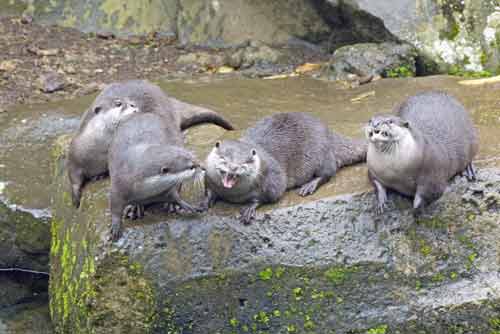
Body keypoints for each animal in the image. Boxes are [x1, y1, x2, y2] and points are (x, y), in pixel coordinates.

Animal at [66, 79, 234, 207]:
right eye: (118, 104)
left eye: (131, 103)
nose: (134, 107)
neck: (99, 149)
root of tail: (167, 98)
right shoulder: (74, 153)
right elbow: (73, 177)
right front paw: (76, 198)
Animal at [108, 112, 204, 240]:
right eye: (191, 166)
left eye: (191, 157)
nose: (201, 166)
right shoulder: (118, 184)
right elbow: (115, 205)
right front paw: (115, 225)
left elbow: (174, 195)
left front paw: (186, 206)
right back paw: (135, 208)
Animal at [203, 112, 368, 224]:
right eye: (224, 159)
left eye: (245, 162)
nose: (234, 168)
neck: (233, 194)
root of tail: (328, 132)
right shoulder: (208, 177)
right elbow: (209, 191)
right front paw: (205, 202)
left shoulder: (273, 178)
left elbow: (270, 196)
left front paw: (250, 207)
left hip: (321, 153)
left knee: (328, 172)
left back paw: (309, 186)